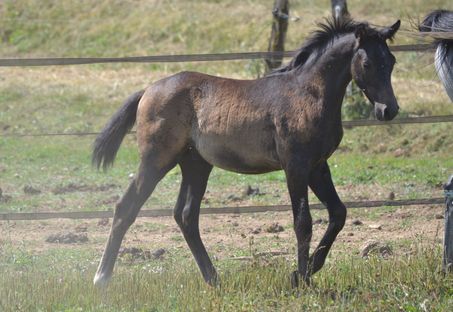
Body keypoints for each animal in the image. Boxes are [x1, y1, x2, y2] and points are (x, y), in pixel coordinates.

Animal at [92, 17, 400, 288]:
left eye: (392, 61)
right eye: (367, 62)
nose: (389, 110)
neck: (309, 93)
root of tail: (148, 90)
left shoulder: (318, 166)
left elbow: (338, 213)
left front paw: (305, 272)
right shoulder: (296, 166)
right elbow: (303, 222)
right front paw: (301, 280)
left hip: (195, 163)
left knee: (186, 216)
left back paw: (214, 280)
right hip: (156, 160)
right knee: (126, 208)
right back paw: (101, 278)